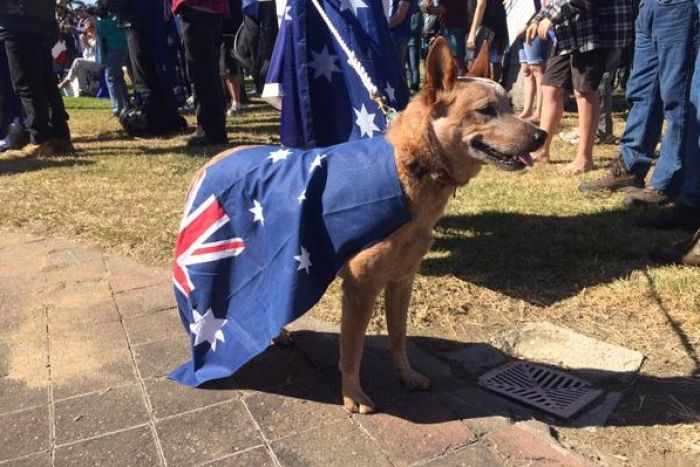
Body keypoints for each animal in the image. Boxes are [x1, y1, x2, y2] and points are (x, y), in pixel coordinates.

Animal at [194, 39, 544, 414]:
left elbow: (398, 337)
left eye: (510, 106)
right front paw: (352, 395)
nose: (541, 134)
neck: (409, 168)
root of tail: (212, 162)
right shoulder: (361, 288)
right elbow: (353, 351)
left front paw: (406, 375)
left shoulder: (402, 280)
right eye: (486, 110)